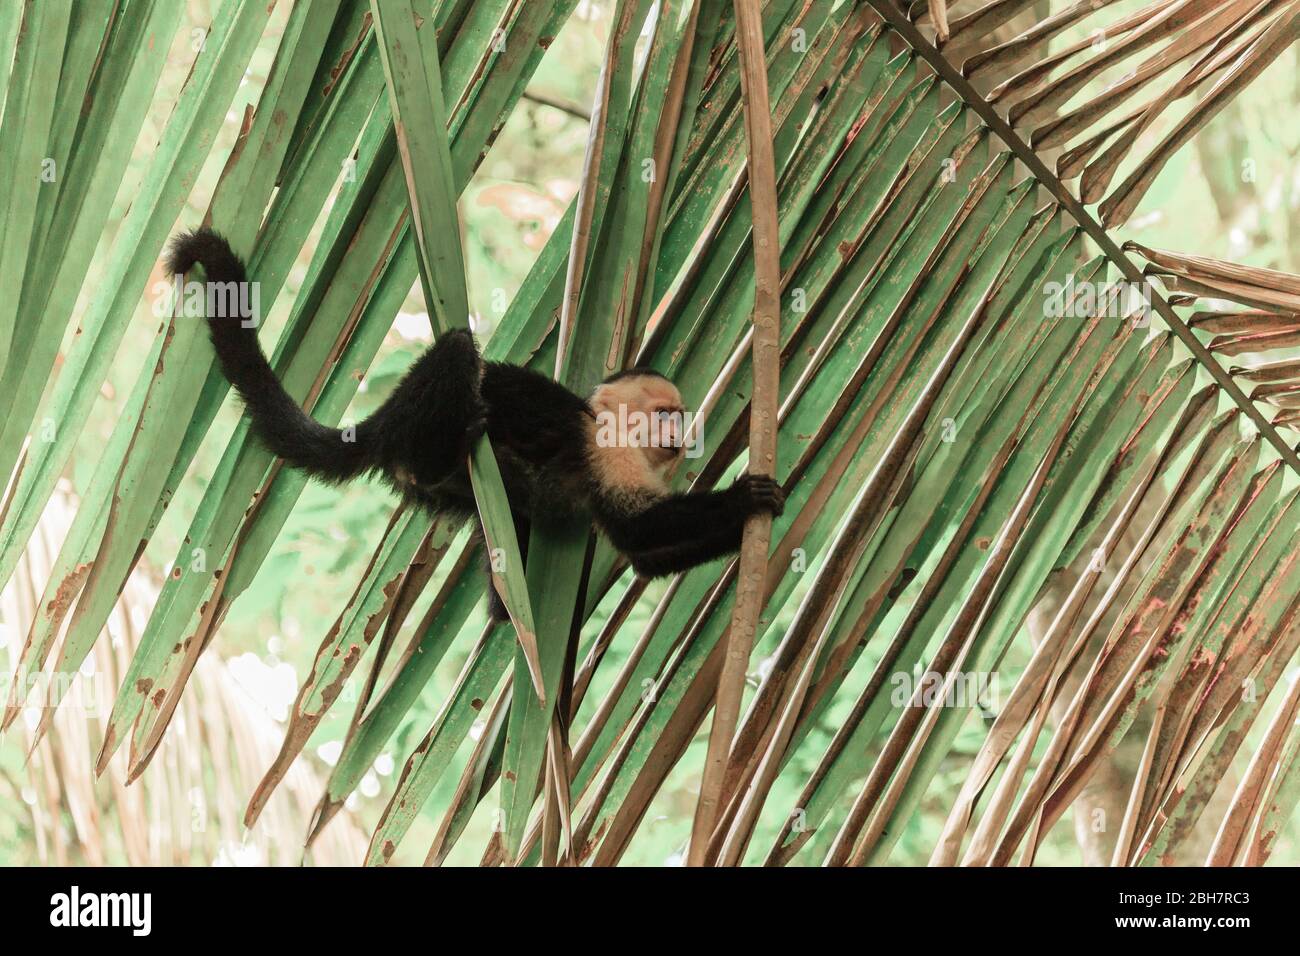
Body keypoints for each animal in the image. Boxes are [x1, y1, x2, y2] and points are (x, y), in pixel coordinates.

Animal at [169, 231, 785, 621]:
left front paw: (756, 528)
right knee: (460, 352)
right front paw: (745, 499)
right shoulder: (605, 448)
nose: (680, 435)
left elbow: (642, 555)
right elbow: (639, 529)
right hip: (421, 412)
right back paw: (450, 442)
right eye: (664, 414)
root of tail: (385, 418)